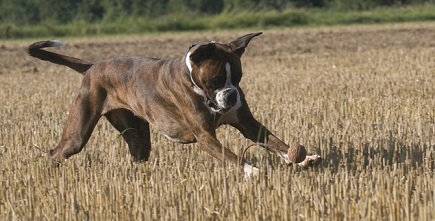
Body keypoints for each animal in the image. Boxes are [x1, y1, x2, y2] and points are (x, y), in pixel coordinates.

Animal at [27, 32, 320, 176]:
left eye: (237, 78)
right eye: (216, 80)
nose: (232, 95)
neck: (195, 83)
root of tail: (92, 66)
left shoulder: (248, 124)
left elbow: (275, 142)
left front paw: (302, 159)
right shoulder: (205, 136)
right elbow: (232, 156)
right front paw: (253, 171)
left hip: (138, 137)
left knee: (138, 154)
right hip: (78, 133)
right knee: (56, 152)